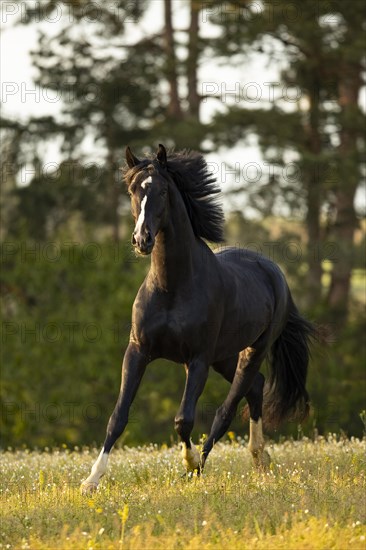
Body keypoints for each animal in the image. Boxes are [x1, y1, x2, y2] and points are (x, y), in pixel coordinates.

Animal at [81, 144, 316, 494]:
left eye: (163, 191)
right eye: (133, 190)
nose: (142, 240)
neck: (172, 286)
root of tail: (273, 271)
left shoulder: (198, 360)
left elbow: (184, 419)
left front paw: (189, 461)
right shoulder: (138, 351)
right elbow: (117, 417)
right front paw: (91, 480)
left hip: (252, 350)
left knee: (229, 407)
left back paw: (204, 466)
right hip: (225, 356)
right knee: (256, 387)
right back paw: (261, 459)